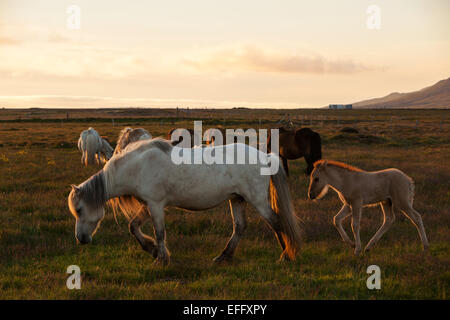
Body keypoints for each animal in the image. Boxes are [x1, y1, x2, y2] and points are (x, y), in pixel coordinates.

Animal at [67, 139, 302, 266]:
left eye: (79, 209)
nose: (80, 239)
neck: (138, 166)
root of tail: (266, 157)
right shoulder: (147, 205)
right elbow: (133, 227)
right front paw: (152, 250)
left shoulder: (155, 205)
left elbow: (160, 233)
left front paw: (161, 258)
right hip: (237, 199)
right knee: (240, 227)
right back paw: (224, 256)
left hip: (257, 200)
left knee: (276, 222)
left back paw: (286, 256)